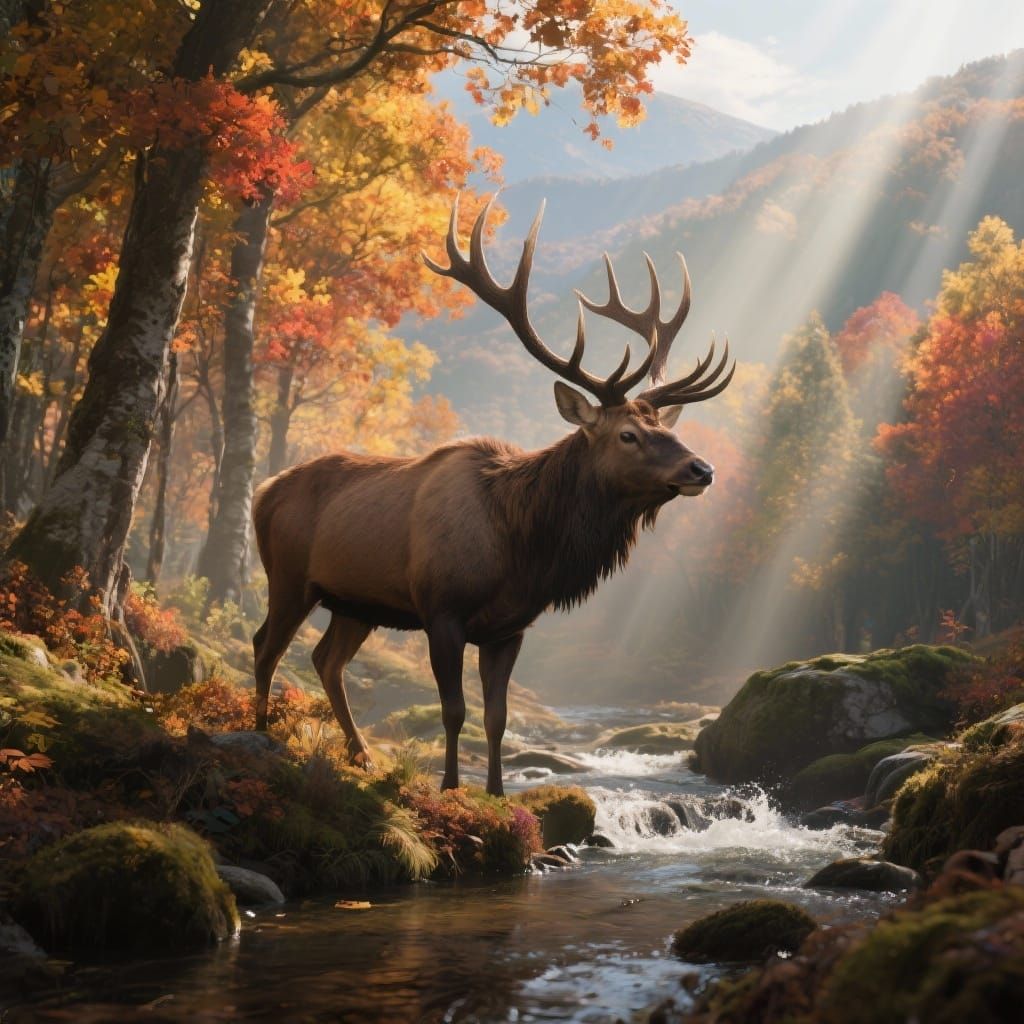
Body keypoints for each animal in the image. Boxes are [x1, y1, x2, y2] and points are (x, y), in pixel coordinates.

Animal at [251, 195, 733, 796]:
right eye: (629, 434)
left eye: (663, 427)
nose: (702, 468)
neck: (522, 549)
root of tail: (263, 492)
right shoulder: (442, 609)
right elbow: (454, 710)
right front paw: (451, 787)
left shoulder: (510, 628)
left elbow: (497, 717)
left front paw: (499, 793)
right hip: (289, 576)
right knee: (265, 645)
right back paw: (261, 732)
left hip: (356, 602)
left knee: (325, 660)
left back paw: (360, 755)